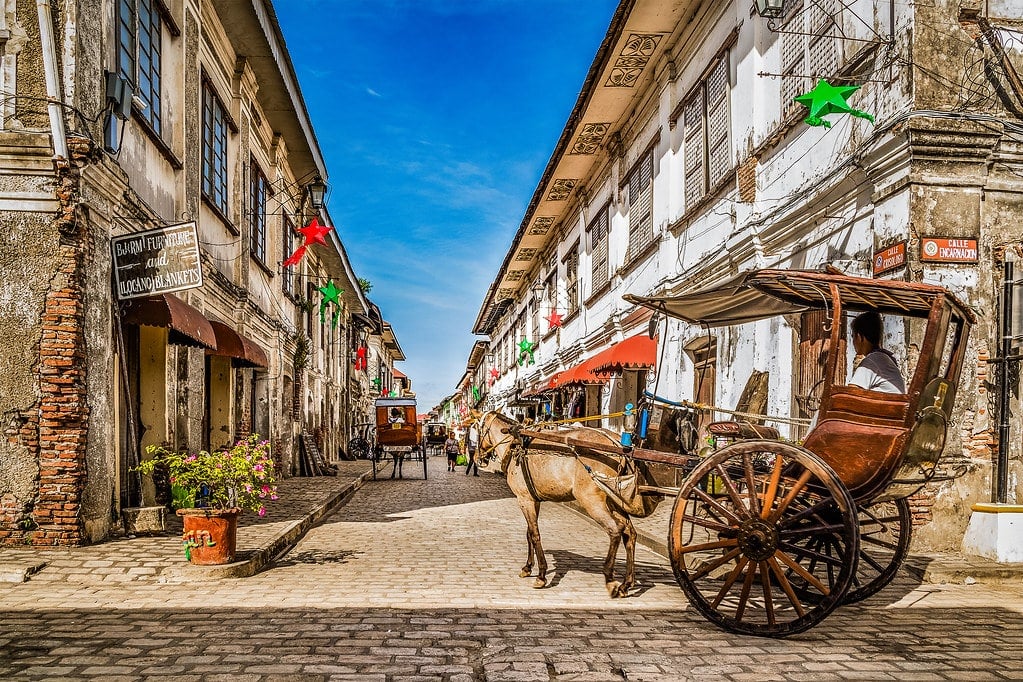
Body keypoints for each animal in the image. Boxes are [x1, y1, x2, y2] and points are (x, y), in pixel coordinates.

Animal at [476, 411, 662, 597]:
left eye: (477, 428)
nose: (478, 458)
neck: (514, 443)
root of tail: (617, 445)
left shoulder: (524, 499)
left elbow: (535, 535)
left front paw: (541, 575)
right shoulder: (532, 499)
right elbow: (529, 533)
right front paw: (528, 568)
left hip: (592, 500)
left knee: (615, 530)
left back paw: (610, 579)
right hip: (614, 498)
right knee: (629, 533)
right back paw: (626, 583)